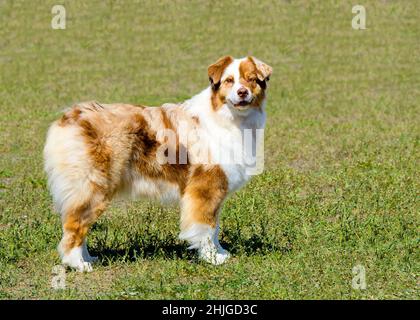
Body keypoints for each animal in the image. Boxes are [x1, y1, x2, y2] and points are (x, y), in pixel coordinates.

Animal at [43, 56, 272, 272]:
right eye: (229, 81)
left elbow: (214, 226)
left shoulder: (216, 189)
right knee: (74, 224)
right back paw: (78, 264)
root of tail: (70, 117)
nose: (242, 92)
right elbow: (206, 226)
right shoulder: (205, 187)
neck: (230, 118)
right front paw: (211, 258)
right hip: (93, 186)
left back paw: (89, 258)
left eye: (251, 79)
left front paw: (220, 252)